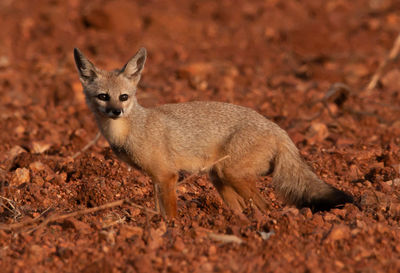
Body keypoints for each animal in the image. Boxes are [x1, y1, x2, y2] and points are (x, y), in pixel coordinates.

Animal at [72, 46, 354, 217]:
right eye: (103, 97)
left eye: (124, 97)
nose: (116, 111)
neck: (131, 129)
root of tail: (278, 128)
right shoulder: (156, 179)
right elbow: (159, 210)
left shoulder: (167, 176)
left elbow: (170, 214)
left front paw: (170, 231)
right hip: (219, 177)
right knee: (243, 209)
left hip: (232, 174)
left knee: (264, 207)